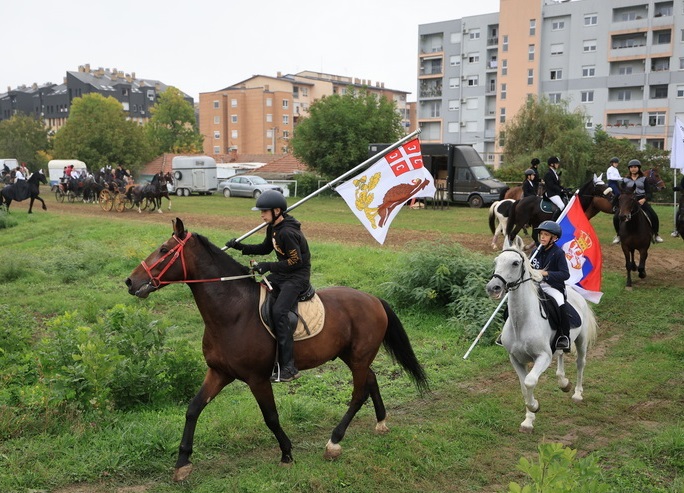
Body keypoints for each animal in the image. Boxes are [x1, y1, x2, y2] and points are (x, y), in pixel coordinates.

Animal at [124, 218, 428, 480]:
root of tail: (374, 299)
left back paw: (334, 442)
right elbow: (193, 408)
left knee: (358, 394)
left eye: (164, 250)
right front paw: (182, 463)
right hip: (353, 357)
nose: (130, 281)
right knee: (372, 381)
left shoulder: (257, 378)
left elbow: (270, 417)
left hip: (358, 358)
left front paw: (287, 453)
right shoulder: (219, 372)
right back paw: (381, 422)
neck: (233, 311)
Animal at [486, 241, 600, 430]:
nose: (492, 288)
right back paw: (563, 382)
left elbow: (530, 381)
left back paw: (577, 394)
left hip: (581, 341)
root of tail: (576, 294)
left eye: (515, 263)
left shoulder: (543, 356)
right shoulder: (515, 359)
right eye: (496, 261)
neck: (522, 323)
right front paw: (528, 421)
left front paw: (535, 406)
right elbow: (524, 387)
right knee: (561, 353)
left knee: (580, 363)